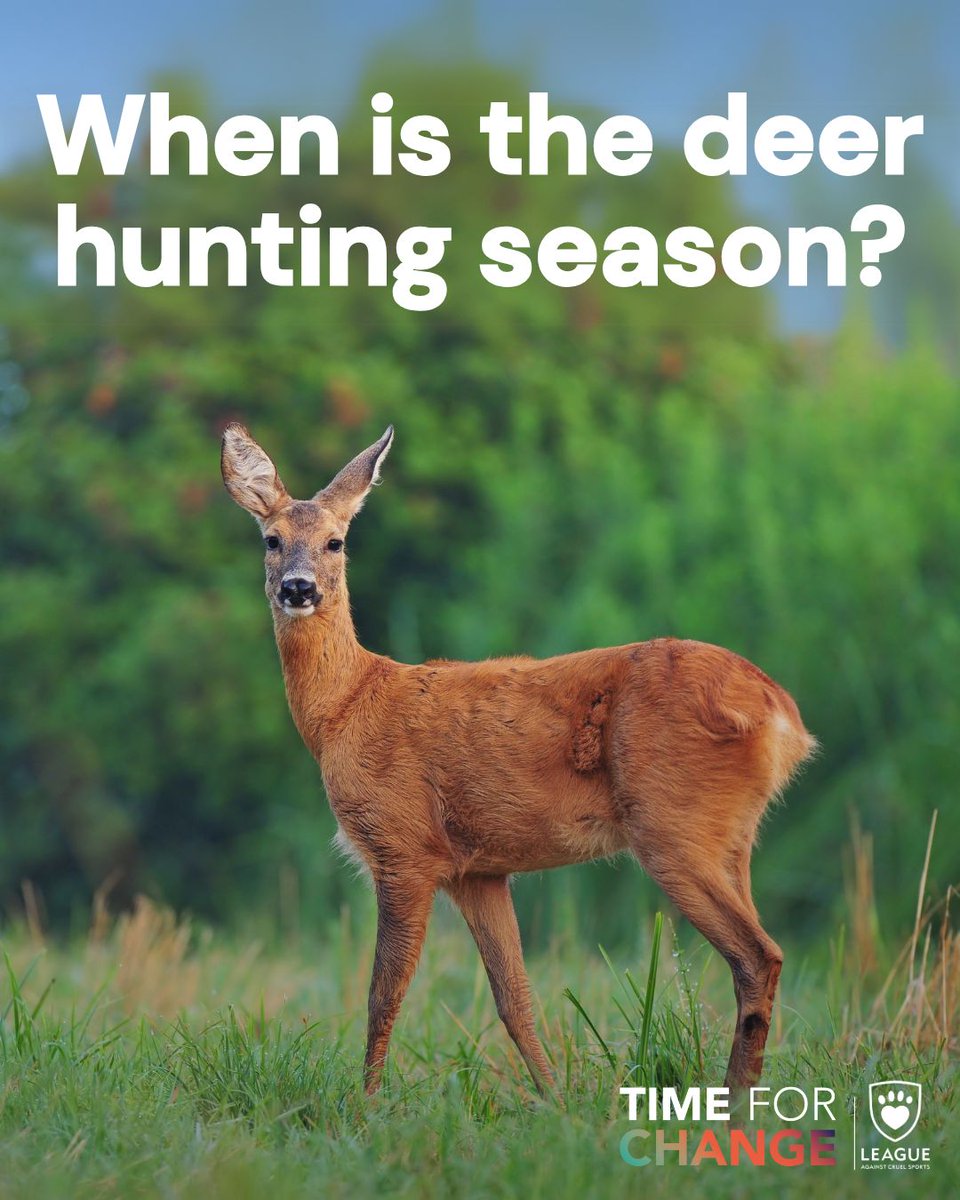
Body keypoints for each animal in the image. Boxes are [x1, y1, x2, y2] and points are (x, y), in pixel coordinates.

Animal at [220, 422, 816, 1097]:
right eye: (271, 539)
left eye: (335, 540)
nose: (298, 587)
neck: (347, 707)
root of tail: (781, 714)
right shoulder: (477, 869)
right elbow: (515, 998)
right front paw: (555, 1100)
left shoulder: (404, 845)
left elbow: (382, 995)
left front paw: (365, 1104)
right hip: (732, 835)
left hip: (672, 823)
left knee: (758, 954)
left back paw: (737, 1099)